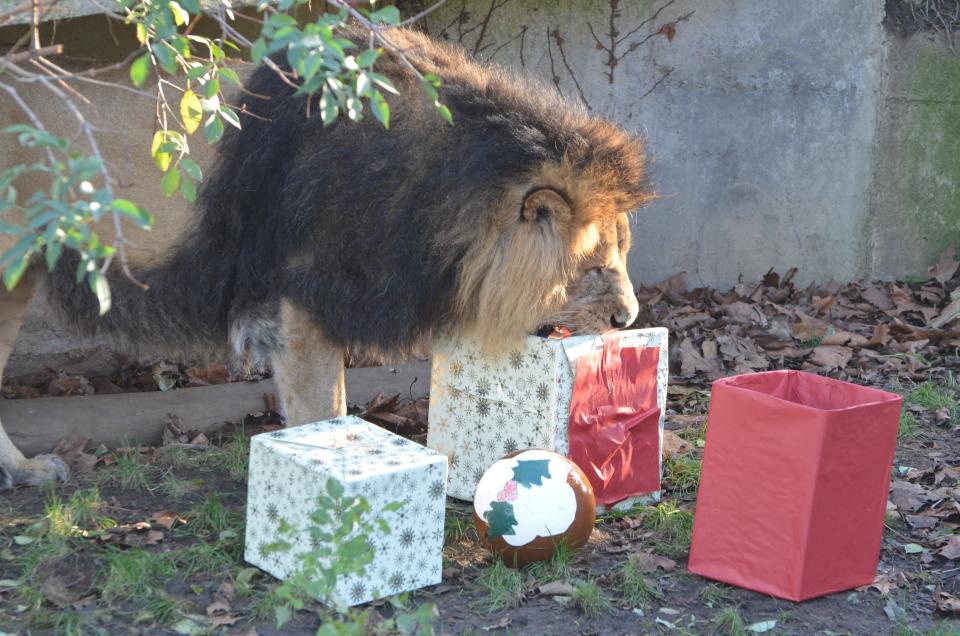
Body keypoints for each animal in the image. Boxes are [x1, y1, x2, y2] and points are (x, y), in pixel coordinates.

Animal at [0, 27, 652, 490]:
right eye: (594, 268)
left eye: (625, 253)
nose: (628, 319)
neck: (444, 190)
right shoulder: (297, 304)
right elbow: (324, 410)